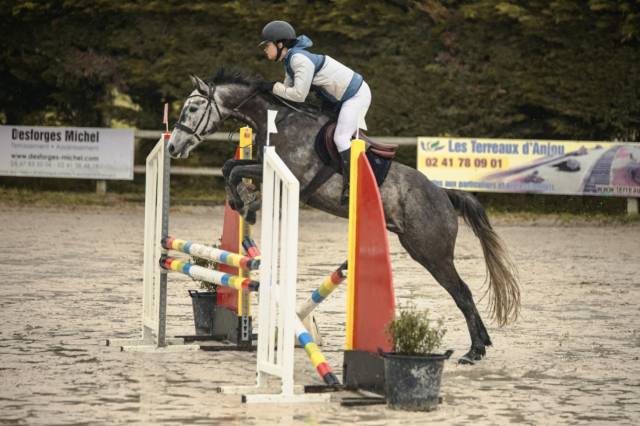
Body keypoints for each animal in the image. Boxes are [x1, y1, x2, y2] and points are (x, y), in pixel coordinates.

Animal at [167, 69, 520, 364]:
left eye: (193, 109)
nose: (173, 147)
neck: (282, 122)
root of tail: (443, 194)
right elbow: (231, 167)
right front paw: (242, 201)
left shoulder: (294, 176)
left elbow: (235, 171)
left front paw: (246, 206)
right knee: (461, 292)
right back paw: (482, 344)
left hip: (430, 252)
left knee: (462, 292)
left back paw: (475, 351)